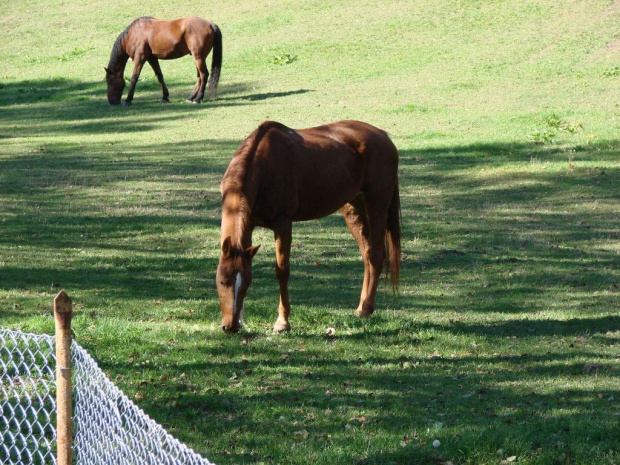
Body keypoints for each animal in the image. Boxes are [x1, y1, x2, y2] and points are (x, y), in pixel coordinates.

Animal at [217, 118, 402, 330]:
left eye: (246, 283)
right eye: (223, 281)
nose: (231, 326)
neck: (263, 166)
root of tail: (383, 136)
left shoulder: (283, 224)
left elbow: (282, 271)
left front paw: (283, 322)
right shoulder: (249, 225)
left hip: (377, 206)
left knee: (377, 256)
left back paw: (366, 309)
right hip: (353, 208)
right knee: (367, 254)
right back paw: (361, 306)